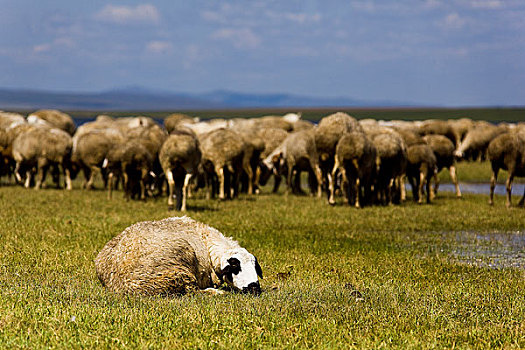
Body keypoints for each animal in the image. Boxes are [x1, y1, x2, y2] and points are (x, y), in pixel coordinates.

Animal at [94, 216, 262, 296]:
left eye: (254, 267)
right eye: (235, 266)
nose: (254, 287)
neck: (206, 239)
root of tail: (119, 284)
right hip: (179, 268)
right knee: (193, 292)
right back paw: (216, 292)